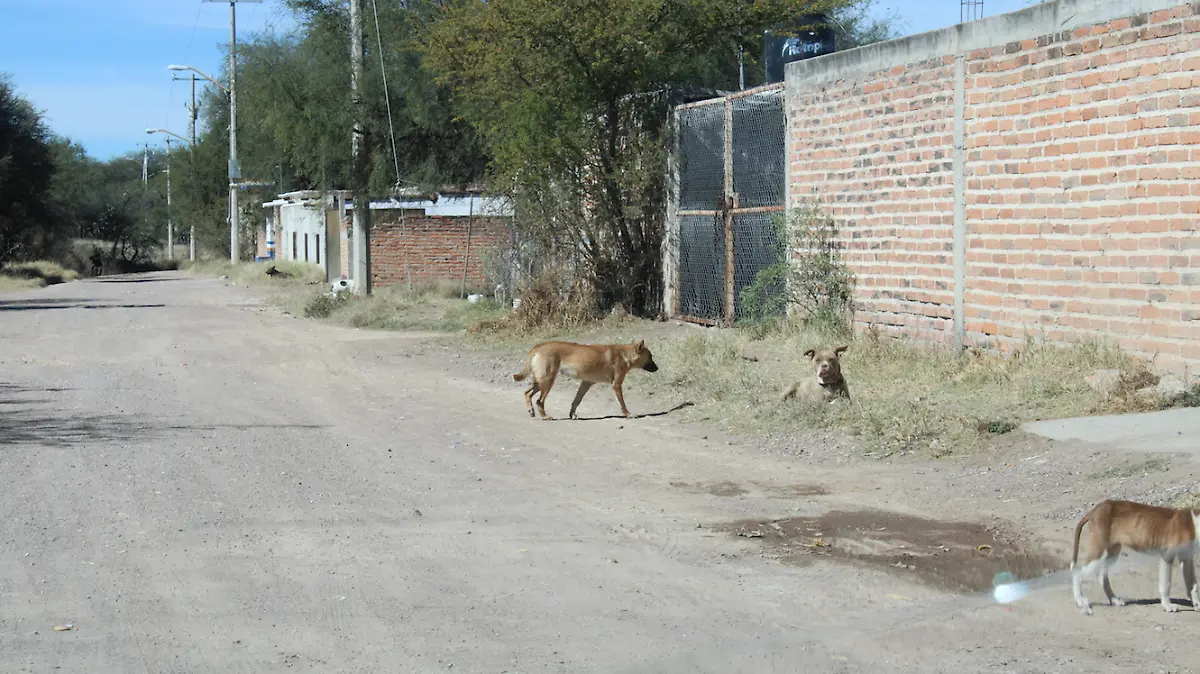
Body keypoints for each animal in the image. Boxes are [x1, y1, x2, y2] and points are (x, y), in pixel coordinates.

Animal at [511, 338, 662, 417]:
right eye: (650, 356)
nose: (657, 368)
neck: (624, 354)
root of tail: (538, 346)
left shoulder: (586, 383)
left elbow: (576, 401)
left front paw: (572, 414)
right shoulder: (616, 384)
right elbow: (622, 403)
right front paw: (627, 414)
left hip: (541, 381)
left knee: (527, 393)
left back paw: (531, 411)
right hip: (547, 380)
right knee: (539, 400)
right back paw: (545, 416)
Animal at [1070, 498, 1200, 614]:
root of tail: (1097, 508)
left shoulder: (1187, 558)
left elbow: (1193, 585)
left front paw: (1197, 604)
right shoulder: (1167, 555)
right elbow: (1166, 584)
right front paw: (1167, 606)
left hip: (1112, 552)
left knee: (1102, 575)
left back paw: (1114, 600)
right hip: (1099, 549)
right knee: (1078, 572)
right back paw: (1080, 601)